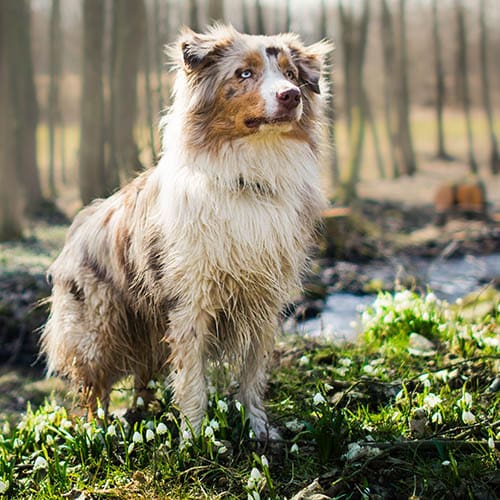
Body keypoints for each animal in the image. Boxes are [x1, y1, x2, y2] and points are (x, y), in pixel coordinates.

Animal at [42, 24, 332, 438]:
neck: (249, 177)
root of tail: (79, 224)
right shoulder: (190, 301)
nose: (290, 95)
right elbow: (193, 379)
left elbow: (253, 373)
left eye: (291, 74)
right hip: (98, 329)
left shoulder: (264, 301)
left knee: (143, 377)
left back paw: (142, 416)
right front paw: (195, 438)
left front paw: (259, 429)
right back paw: (98, 433)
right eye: (244, 73)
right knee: (93, 389)